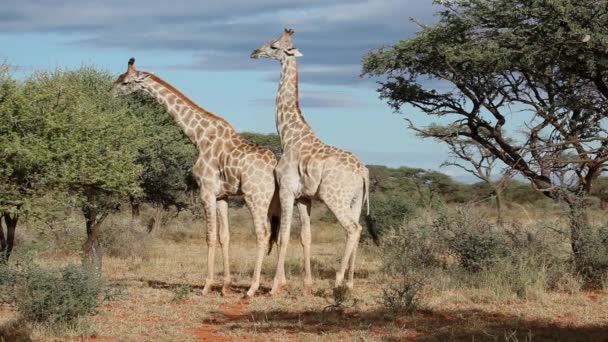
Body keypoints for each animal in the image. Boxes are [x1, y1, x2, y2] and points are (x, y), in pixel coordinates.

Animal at [111, 58, 280, 296]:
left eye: (125, 82)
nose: (110, 93)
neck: (199, 137)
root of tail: (274, 164)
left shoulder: (206, 191)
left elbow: (210, 237)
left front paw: (207, 285)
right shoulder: (222, 196)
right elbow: (224, 237)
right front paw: (225, 286)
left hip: (255, 197)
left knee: (263, 234)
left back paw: (252, 288)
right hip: (273, 200)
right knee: (278, 235)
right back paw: (276, 286)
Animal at [249, 29, 378, 294]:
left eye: (274, 46)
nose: (254, 52)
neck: (289, 135)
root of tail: (363, 171)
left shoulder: (287, 190)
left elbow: (284, 236)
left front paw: (275, 286)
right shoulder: (304, 198)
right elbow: (305, 236)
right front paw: (307, 284)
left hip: (334, 196)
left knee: (353, 228)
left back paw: (338, 280)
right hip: (356, 200)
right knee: (358, 229)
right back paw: (350, 281)